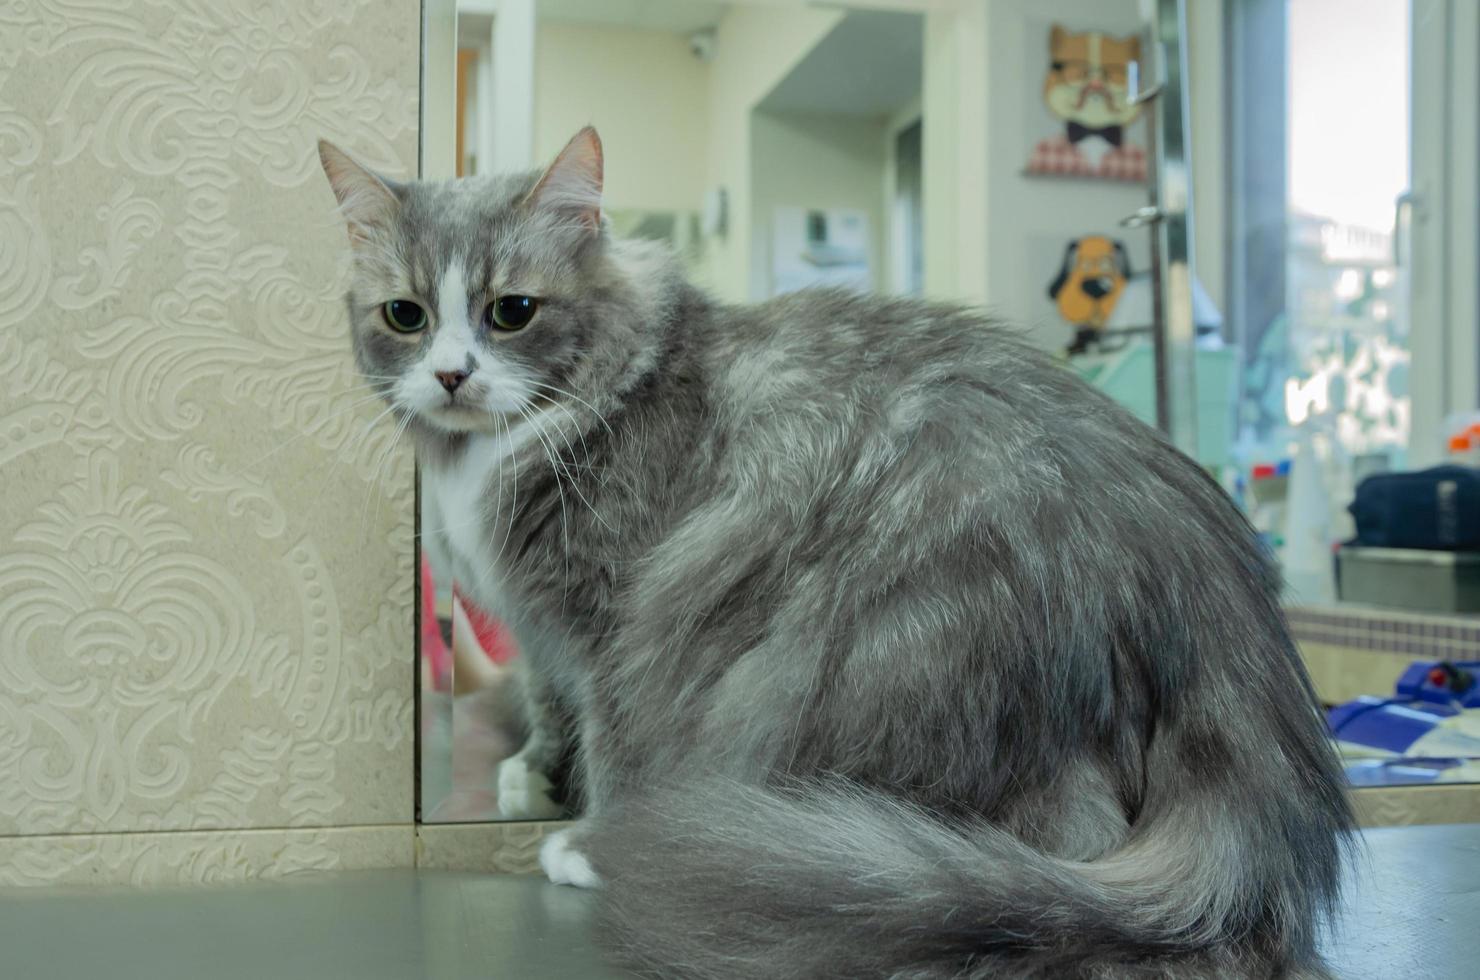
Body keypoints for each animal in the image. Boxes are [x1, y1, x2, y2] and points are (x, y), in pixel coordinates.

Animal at [321, 132, 1355, 980]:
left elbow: (614, 741)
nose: (452, 374)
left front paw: (589, 841)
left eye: (513, 311)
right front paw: (532, 778)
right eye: (406, 315)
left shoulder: (614, 618)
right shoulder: (542, 634)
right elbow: (549, 711)